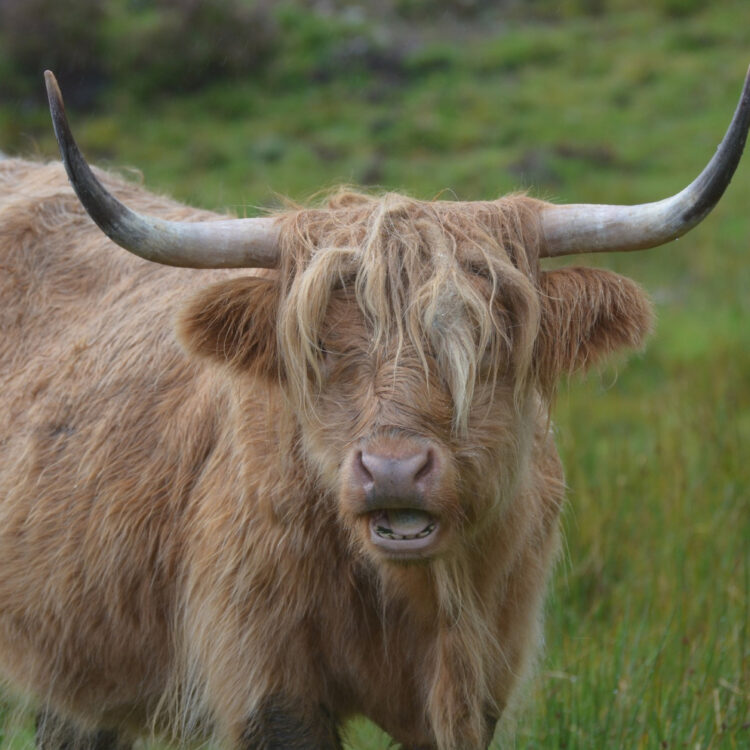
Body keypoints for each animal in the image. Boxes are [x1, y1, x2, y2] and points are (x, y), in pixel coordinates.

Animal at [0, 68, 747, 750]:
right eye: (320, 347)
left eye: (488, 341)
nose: (393, 470)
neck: (415, 598)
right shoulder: (267, 678)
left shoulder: (482, 678)